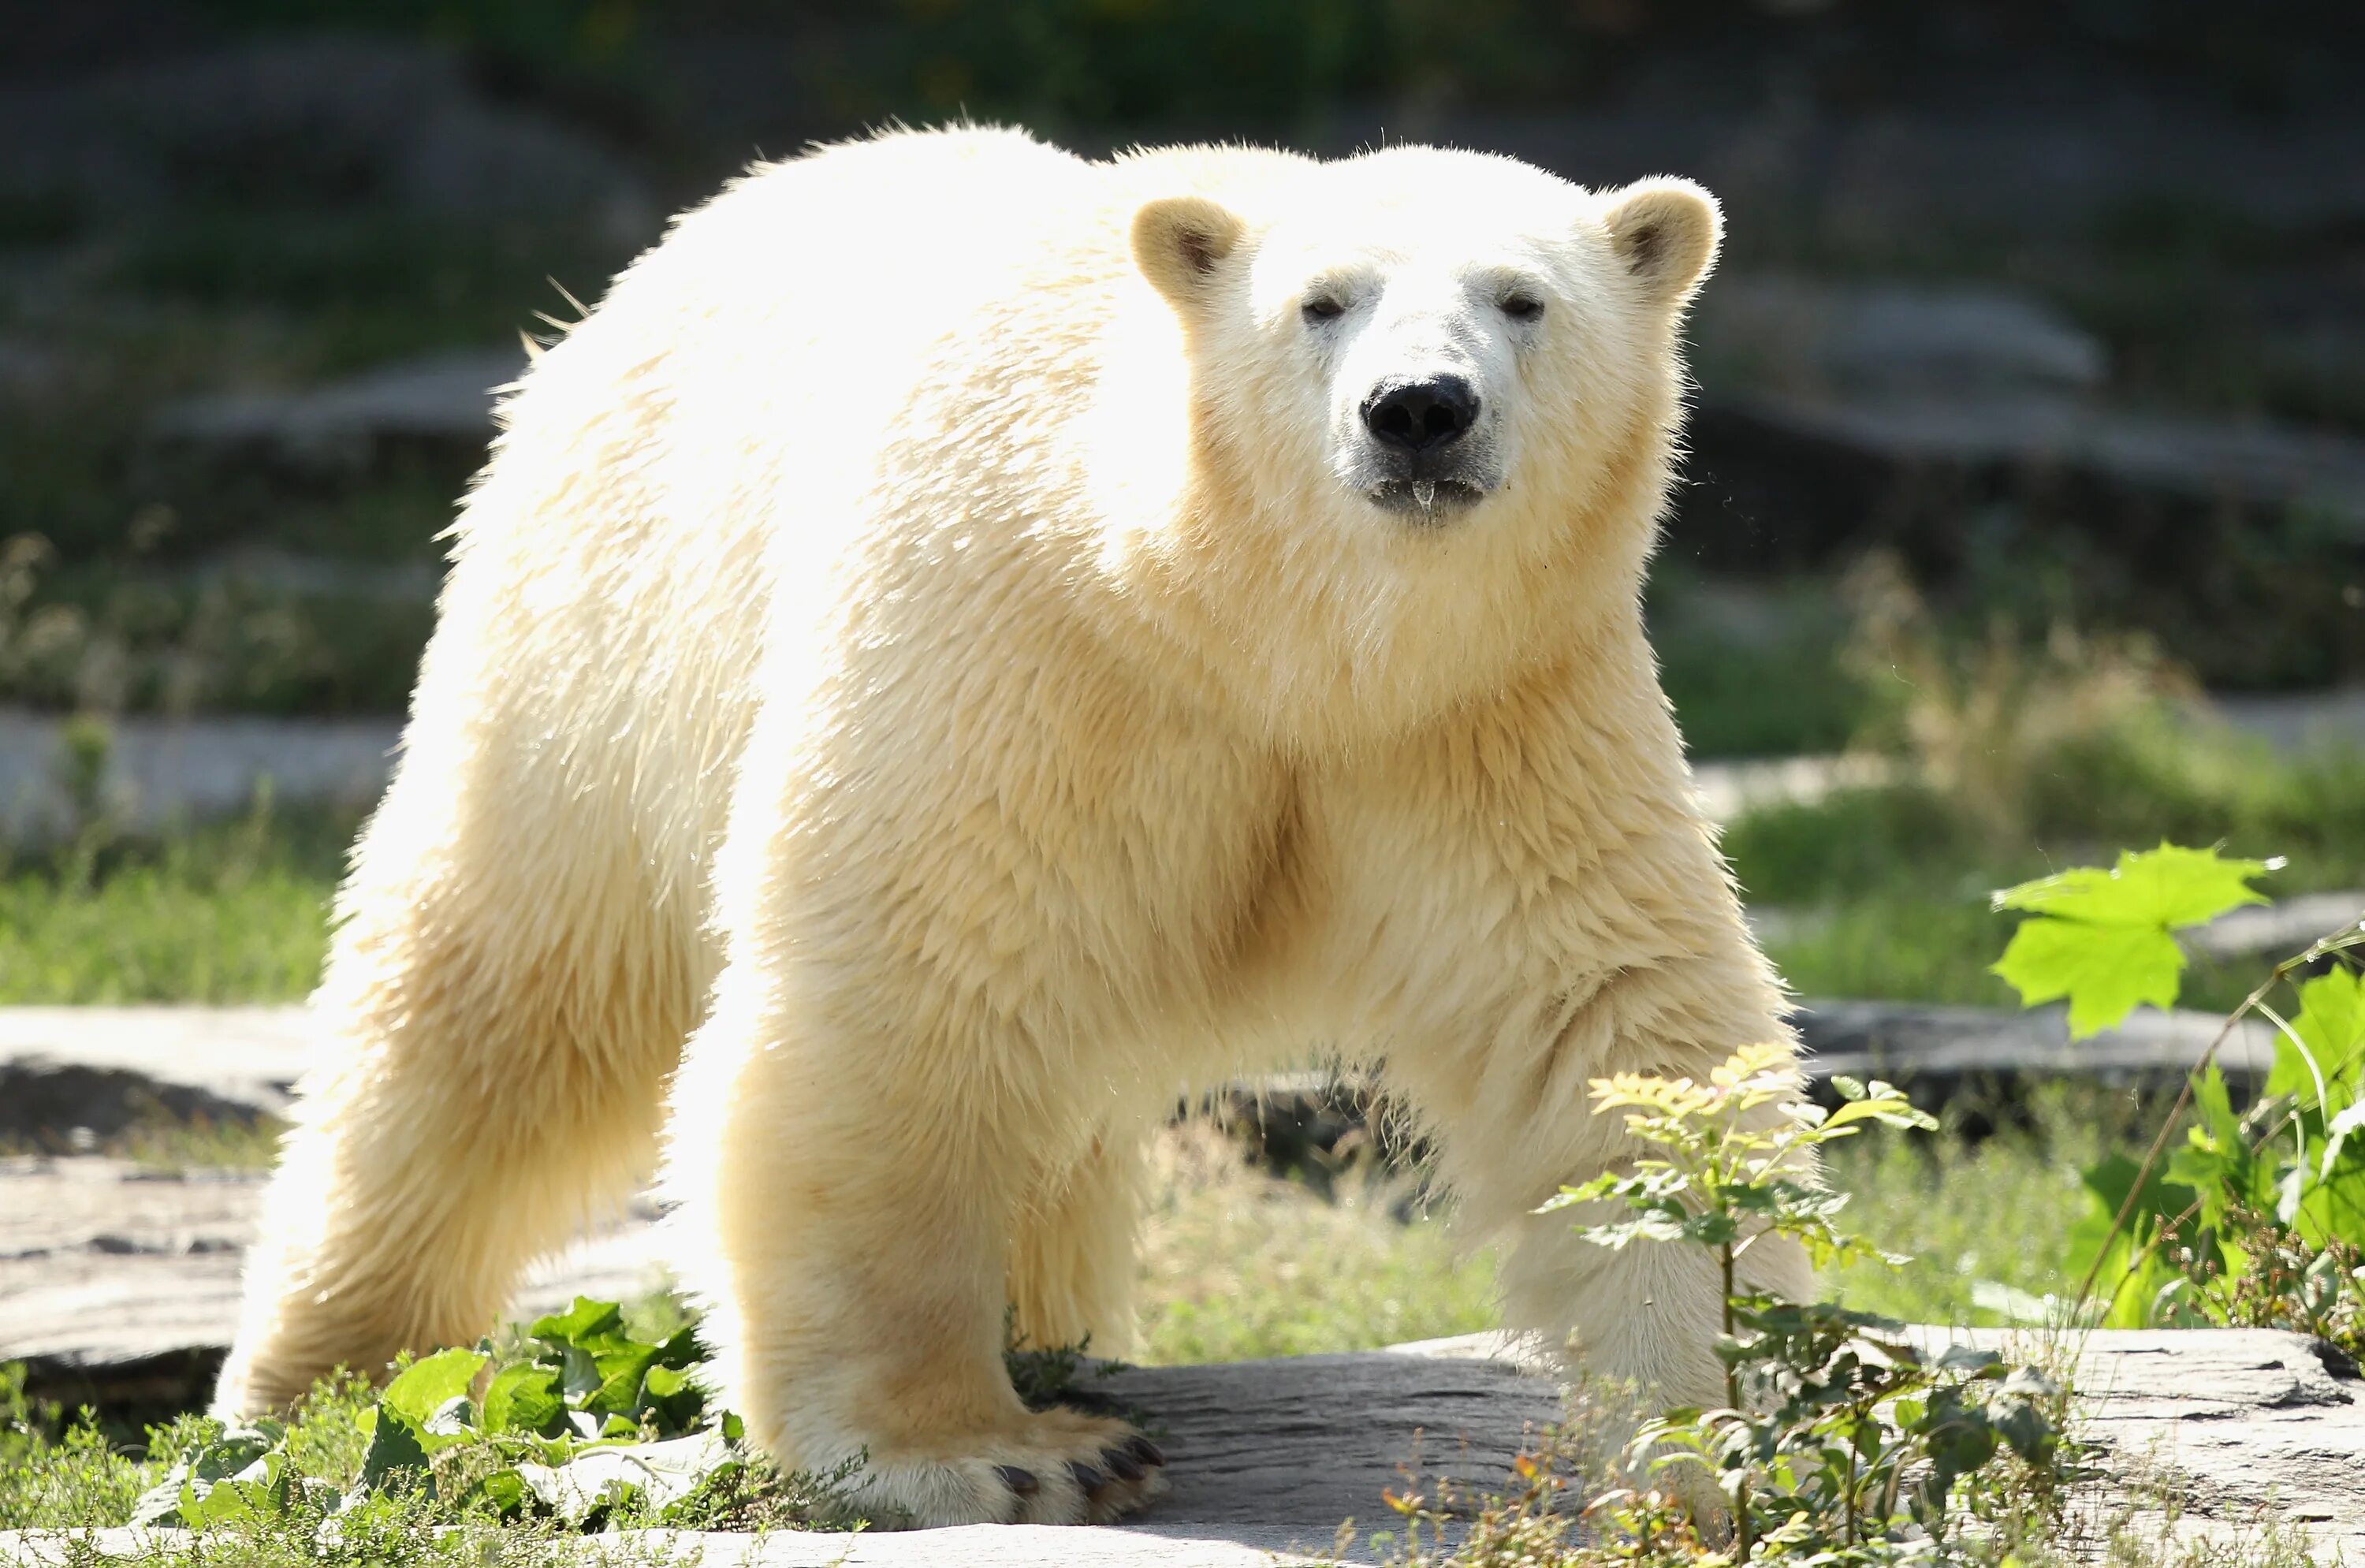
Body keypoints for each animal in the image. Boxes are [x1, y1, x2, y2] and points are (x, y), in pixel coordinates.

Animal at [222, 125, 1807, 1533]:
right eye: (1323, 301)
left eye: (1523, 299)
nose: (1419, 408)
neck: (1251, 622)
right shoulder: (1024, 654)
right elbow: (914, 990)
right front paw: (1000, 1455)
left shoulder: (1487, 714)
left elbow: (1613, 1031)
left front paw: (1726, 1438)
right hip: (596, 628)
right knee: (492, 995)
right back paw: (316, 1375)